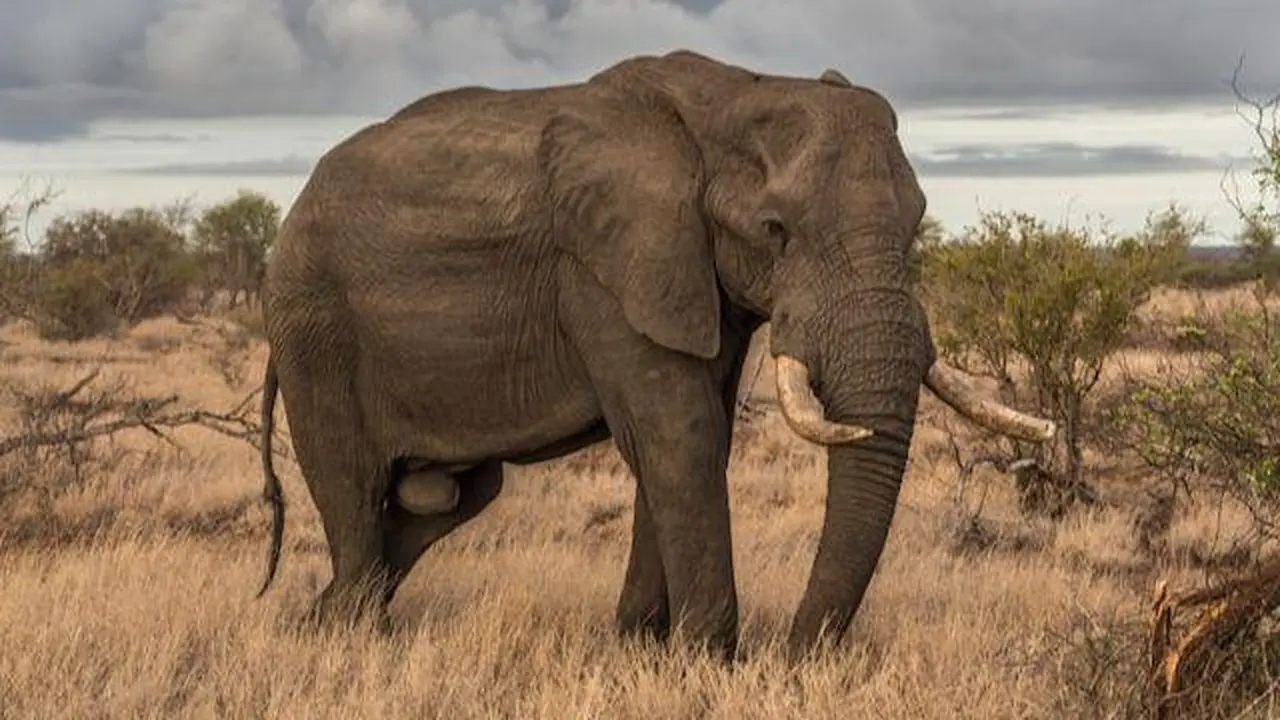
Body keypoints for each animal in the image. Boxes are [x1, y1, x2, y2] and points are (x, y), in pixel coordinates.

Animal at [254, 48, 1055, 661]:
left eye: (917, 224)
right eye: (775, 230)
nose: (797, 657)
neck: (729, 96)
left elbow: (695, 435)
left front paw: (638, 648)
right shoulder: (605, 268)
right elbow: (681, 434)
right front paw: (707, 660)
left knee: (452, 497)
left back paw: (319, 617)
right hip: (314, 325)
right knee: (354, 484)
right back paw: (348, 632)